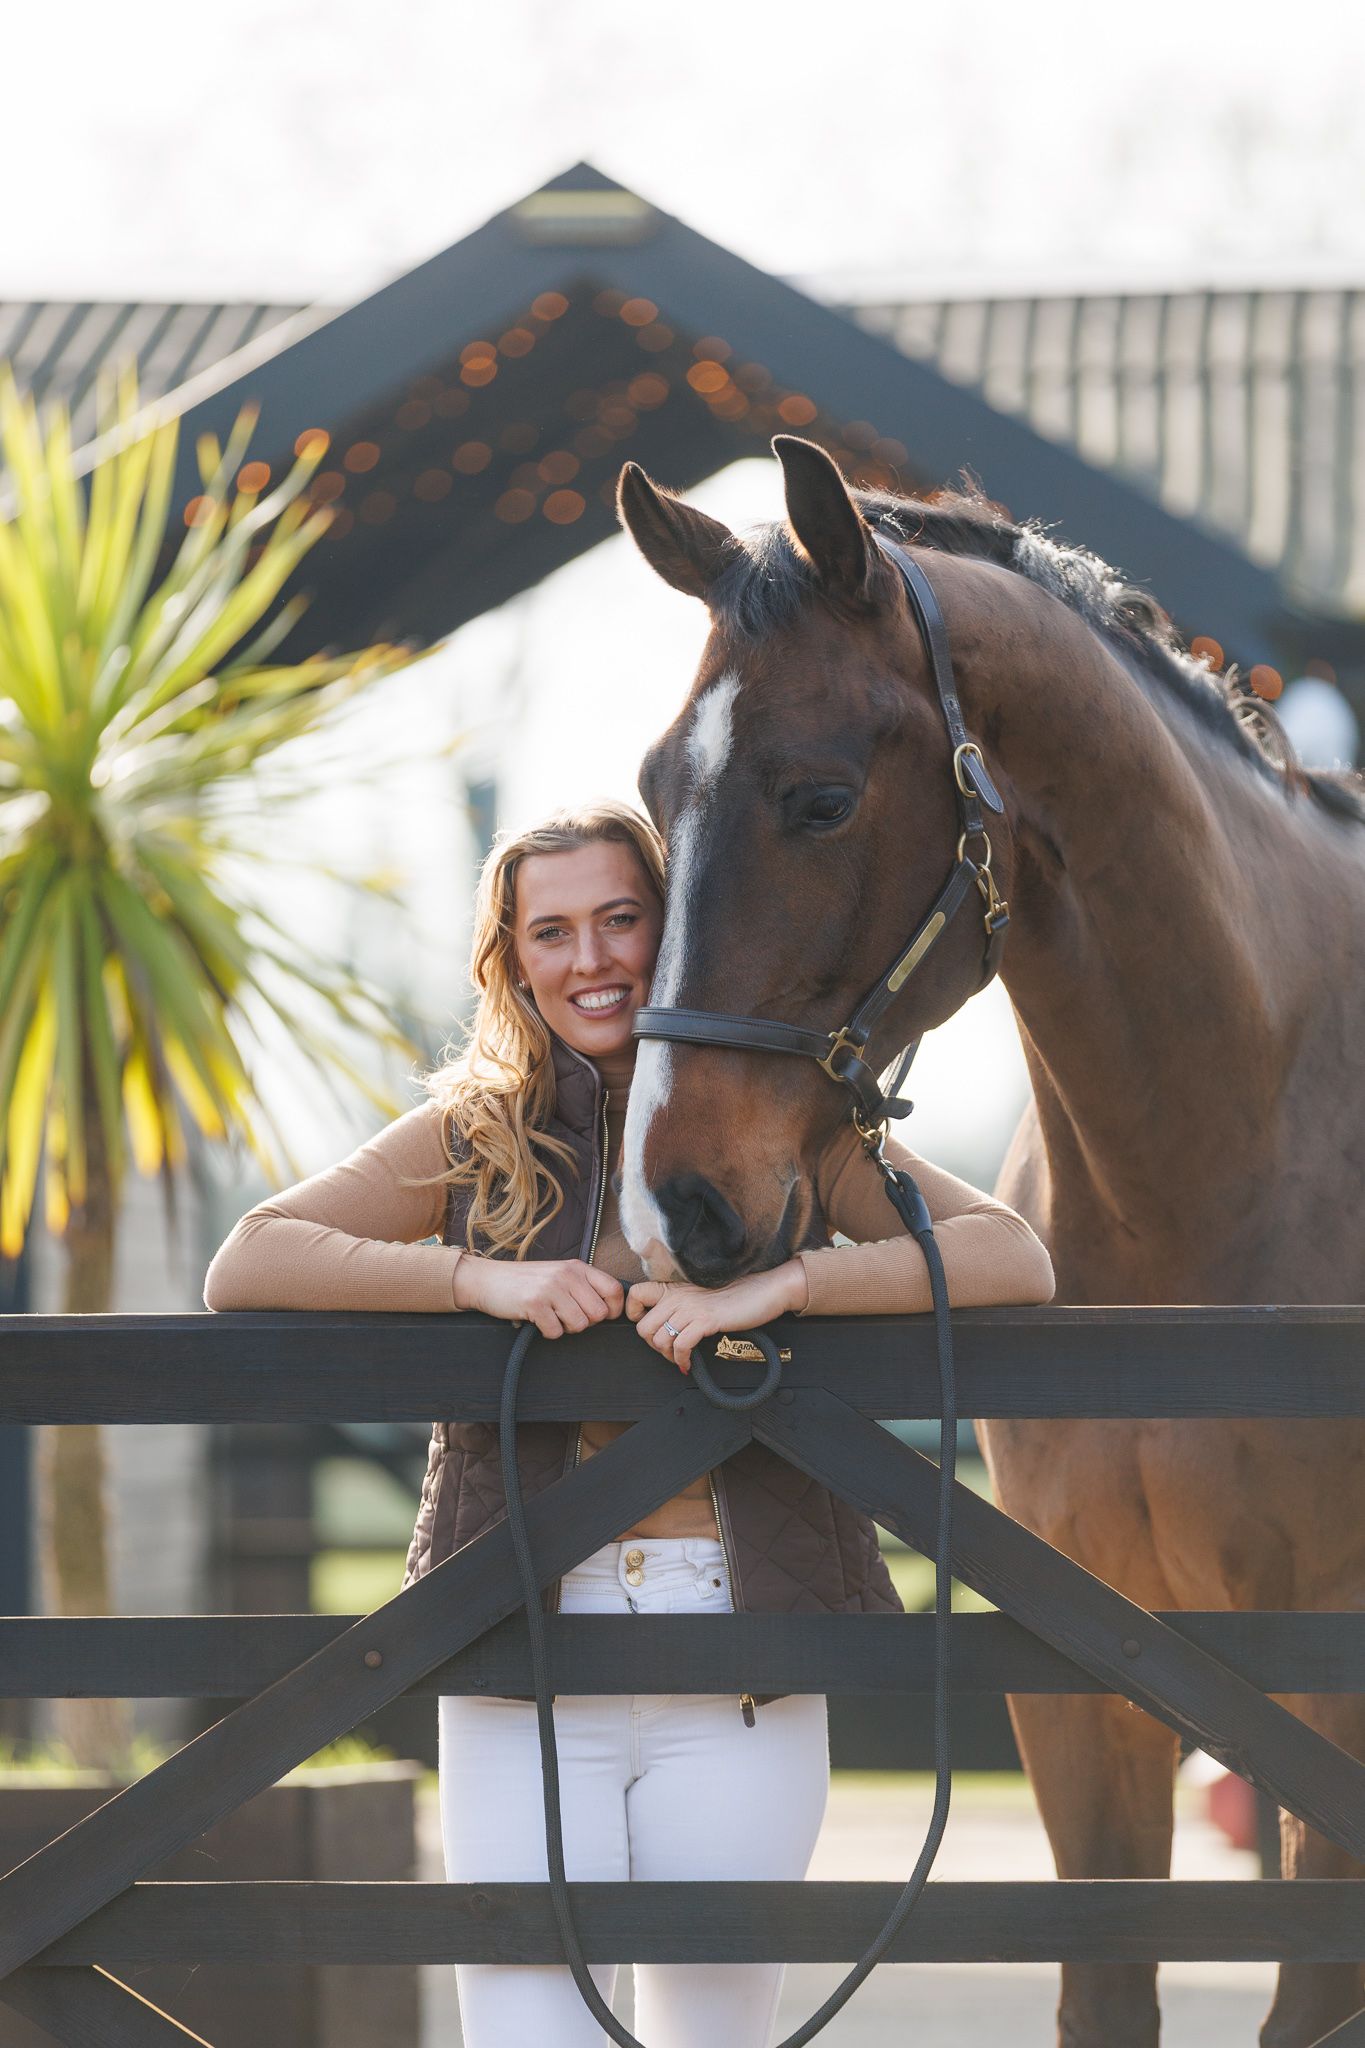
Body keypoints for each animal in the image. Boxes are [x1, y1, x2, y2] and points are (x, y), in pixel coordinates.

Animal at [614, 434, 1365, 2048]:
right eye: (654, 786)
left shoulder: (1329, 1683)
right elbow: (1106, 1990)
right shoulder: (1090, 1684)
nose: (677, 1203)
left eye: (820, 798)